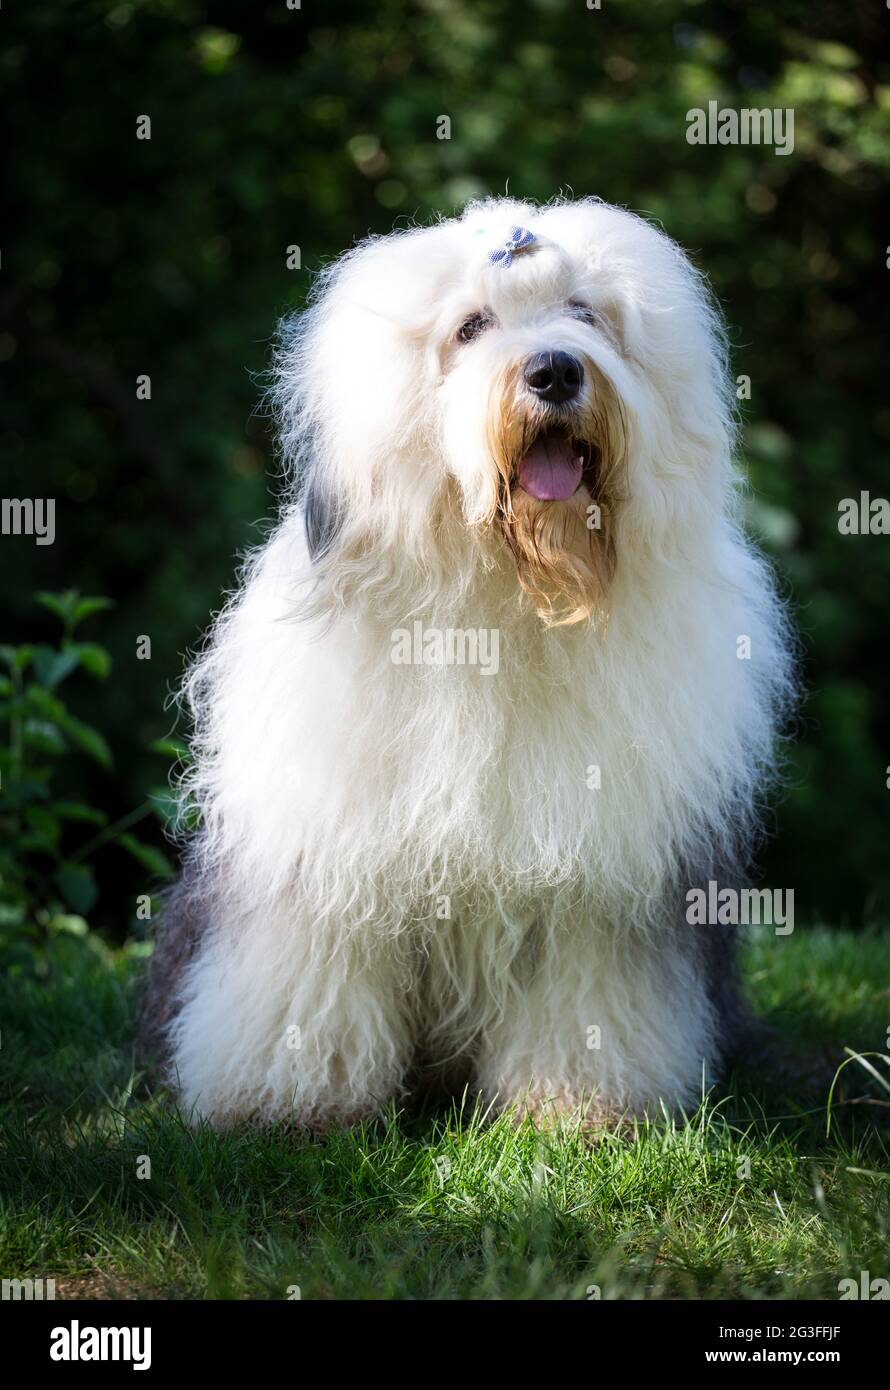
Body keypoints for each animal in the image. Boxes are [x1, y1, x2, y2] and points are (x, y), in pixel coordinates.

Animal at [140, 195, 789, 1128]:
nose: (555, 371)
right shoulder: (326, 852)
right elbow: (311, 970)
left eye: (587, 314)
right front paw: (290, 1102)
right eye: (471, 327)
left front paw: (576, 1108)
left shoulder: (602, 879)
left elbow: (586, 988)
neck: (504, 602)